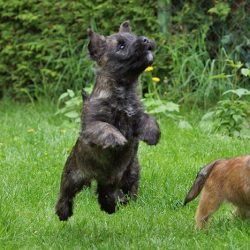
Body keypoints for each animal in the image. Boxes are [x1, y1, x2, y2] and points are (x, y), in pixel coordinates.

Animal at [55, 21, 160, 221]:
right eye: (121, 46)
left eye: (134, 36)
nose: (145, 40)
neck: (123, 89)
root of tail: (94, 177)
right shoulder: (92, 124)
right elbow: (105, 127)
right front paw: (116, 139)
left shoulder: (136, 117)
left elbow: (148, 117)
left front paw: (153, 134)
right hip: (73, 176)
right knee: (66, 193)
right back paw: (63, 212)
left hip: (127, 174)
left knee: (113, 193)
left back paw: (115, 205)